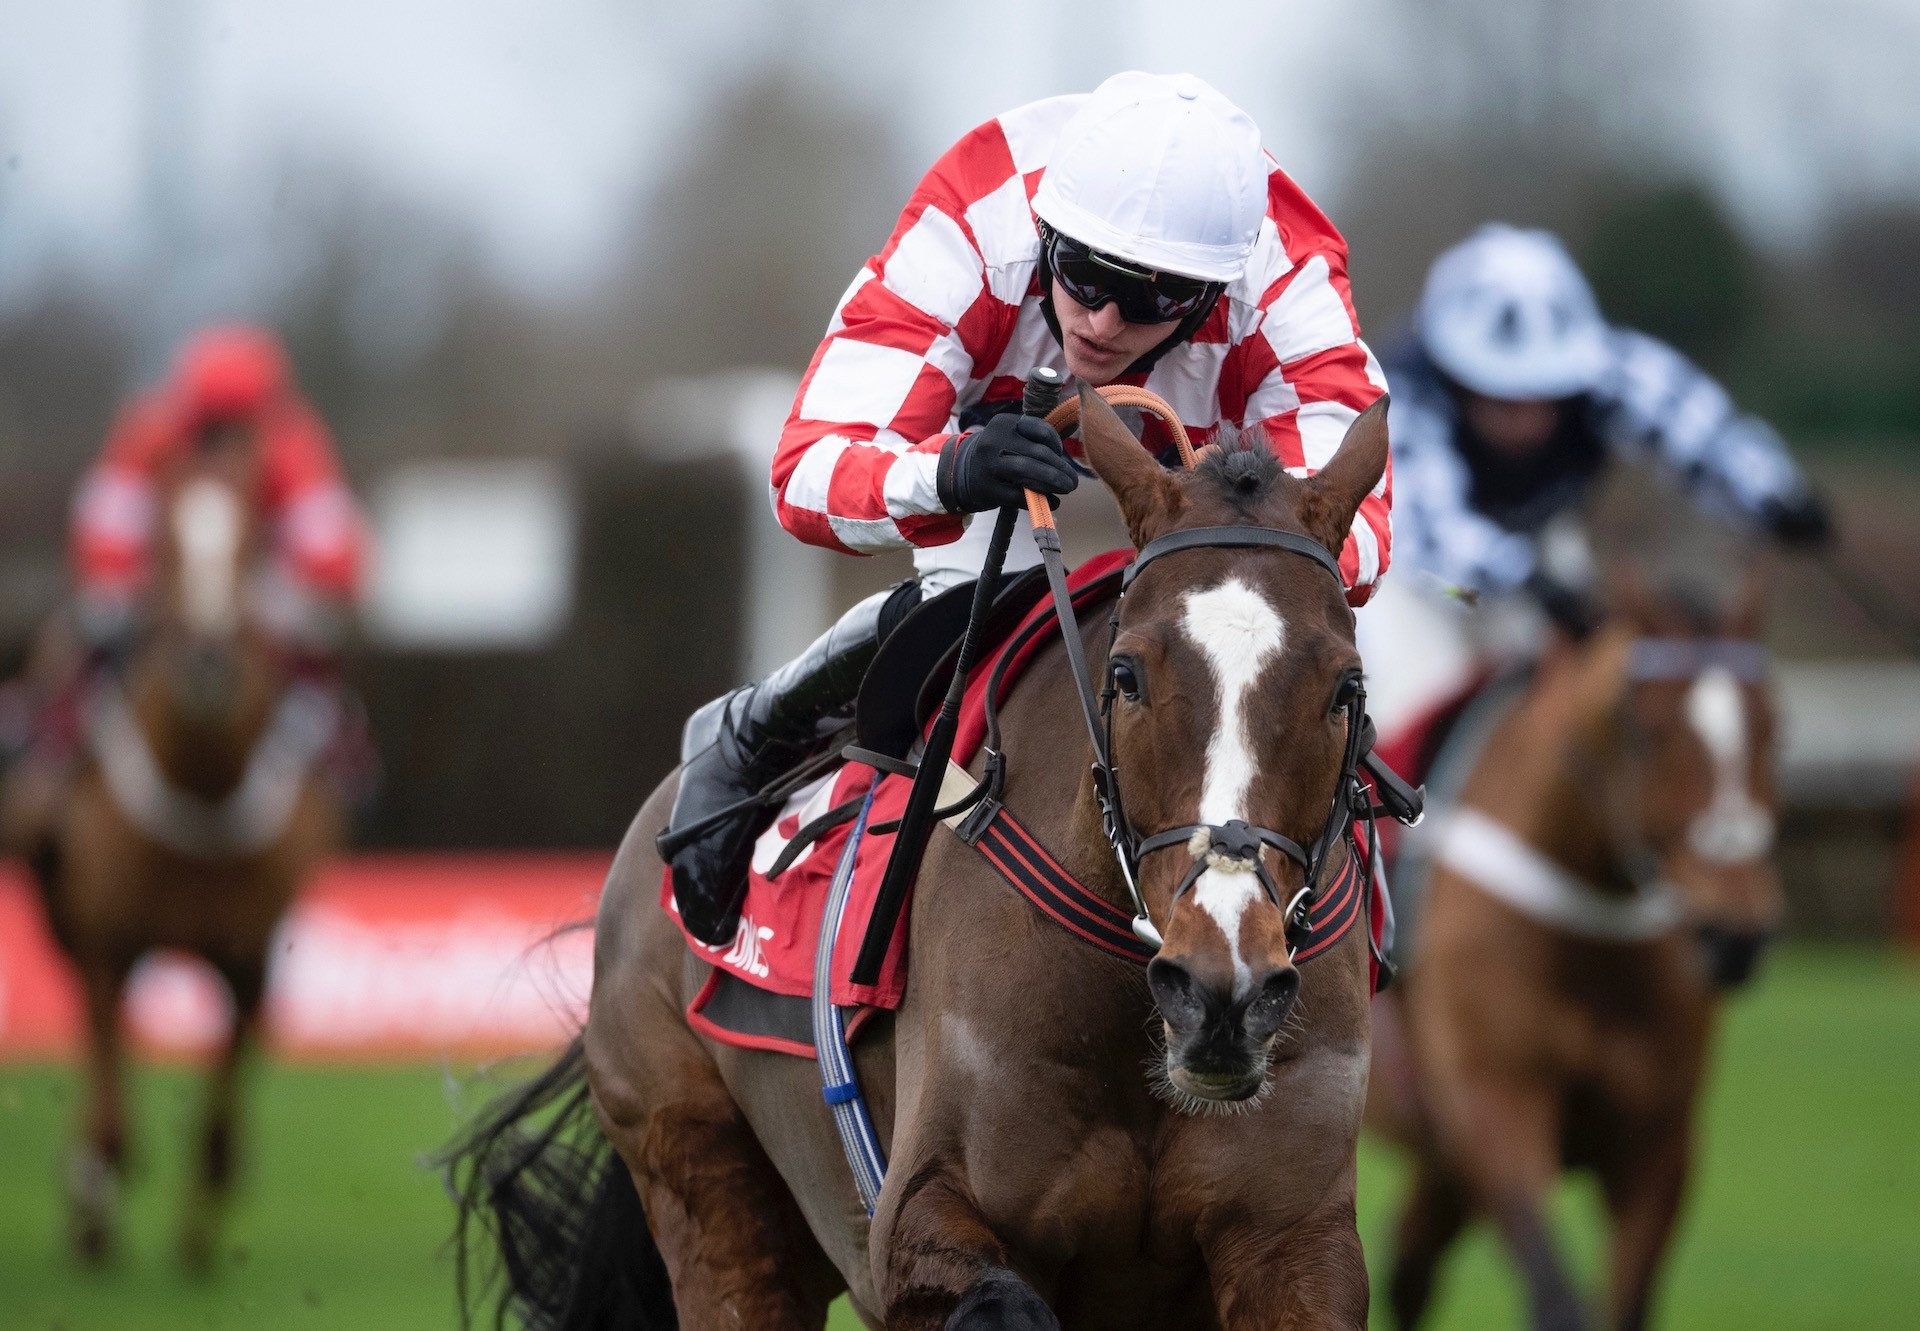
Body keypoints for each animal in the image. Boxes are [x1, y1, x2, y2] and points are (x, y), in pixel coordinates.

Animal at [6, 434, 345, 1267]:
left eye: (253, 541)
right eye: (161, 540)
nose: (207, 658)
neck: (203, 792)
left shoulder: (249, 959)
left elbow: (219, 1126)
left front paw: (198, 1236)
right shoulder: (109, 946)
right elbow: (109, 1114)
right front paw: (95, 1215)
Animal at [451, 386, 1397, 1329]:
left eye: (1347, 687)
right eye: (1127, 674)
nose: (1219, 989)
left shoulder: (1292, 1241)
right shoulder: (921, 1217)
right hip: (705, 1183)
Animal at [1367, 541, 1781, 1329]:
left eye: (1775, 728)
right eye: (1647, 732)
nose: (1734, 936)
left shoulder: (1659, 1143)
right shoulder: (1494, 1110)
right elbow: (1558, 1296)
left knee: (1408, 1267)